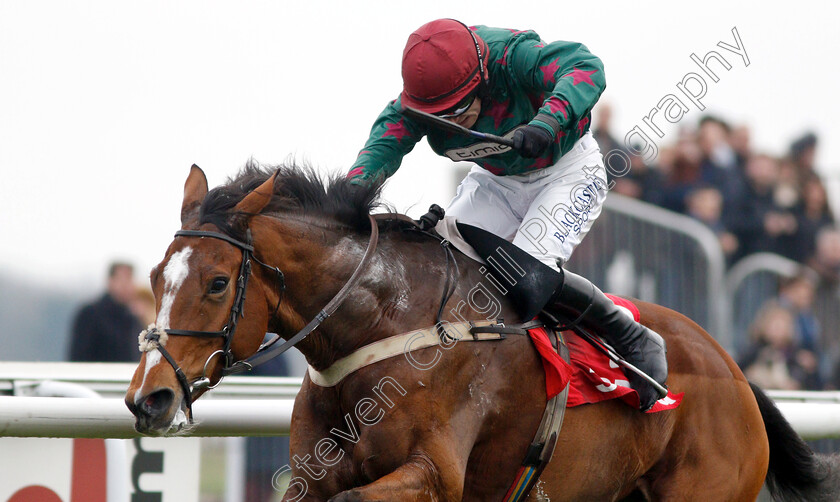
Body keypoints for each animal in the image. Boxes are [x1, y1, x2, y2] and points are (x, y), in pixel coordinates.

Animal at [126, 163, 840, 500]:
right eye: (158, 276)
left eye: (218, 282)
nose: (148, 398)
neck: (386, 329)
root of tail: (736, 372)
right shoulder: (310, 474)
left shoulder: (437, 475)